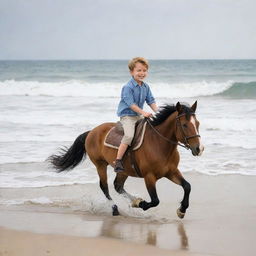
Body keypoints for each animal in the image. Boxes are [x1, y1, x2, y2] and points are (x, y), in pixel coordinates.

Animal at [48, 101, 204, 218]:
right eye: (184, 125)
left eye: (197, 123)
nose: (199, 149)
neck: (160, 144)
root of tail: (92, 131)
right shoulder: (149, 177)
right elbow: (155, 200)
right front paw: (140, 204)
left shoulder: (171, 172)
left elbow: (187, 186)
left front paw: (182, 210)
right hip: (100, 165)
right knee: (105, 187)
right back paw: (115, 208)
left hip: (124, 171)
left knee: (118, 186)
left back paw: (132, 200)